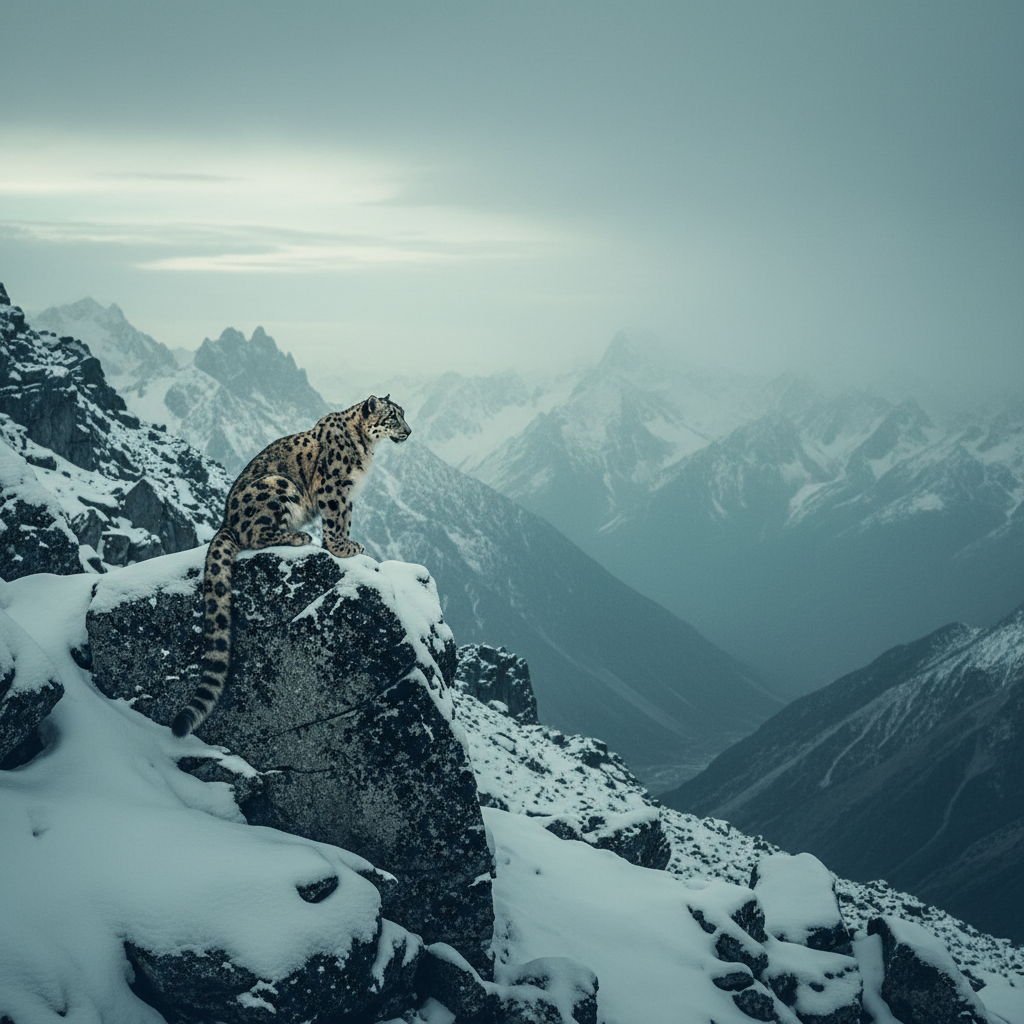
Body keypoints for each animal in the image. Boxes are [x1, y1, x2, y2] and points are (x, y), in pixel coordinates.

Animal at [171, 394, 411, 738]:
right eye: (392, 417)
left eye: (402, 415)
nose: (408, 431)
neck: (365, 449)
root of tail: (226, 520)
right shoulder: (333, 488)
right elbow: (335, 519)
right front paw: (341, 547)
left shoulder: (348, 495)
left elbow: (346, 519)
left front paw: (348, 544)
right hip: (277, 485)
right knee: (256, 535)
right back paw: (300, 536)